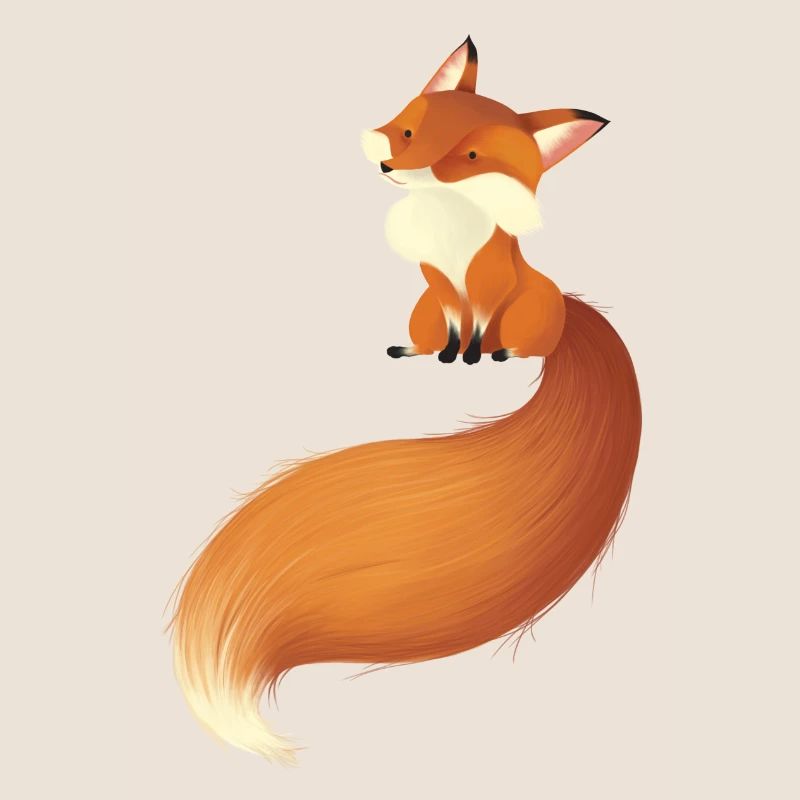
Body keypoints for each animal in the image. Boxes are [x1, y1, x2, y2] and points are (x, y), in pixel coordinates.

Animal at [170, 36, 641, 765]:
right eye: (413, 132)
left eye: (472, 158)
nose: (393, 166)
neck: (447, 225)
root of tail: (568, 312)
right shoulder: (438, 288)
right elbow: (449, 330)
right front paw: (444, 357)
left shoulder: (485, 289)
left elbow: (475, 333)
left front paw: (472, 359)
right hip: (420, 307)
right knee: (426, 336)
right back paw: (416, 353)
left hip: (531, 307)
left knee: (512, 342)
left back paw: (495, 356)